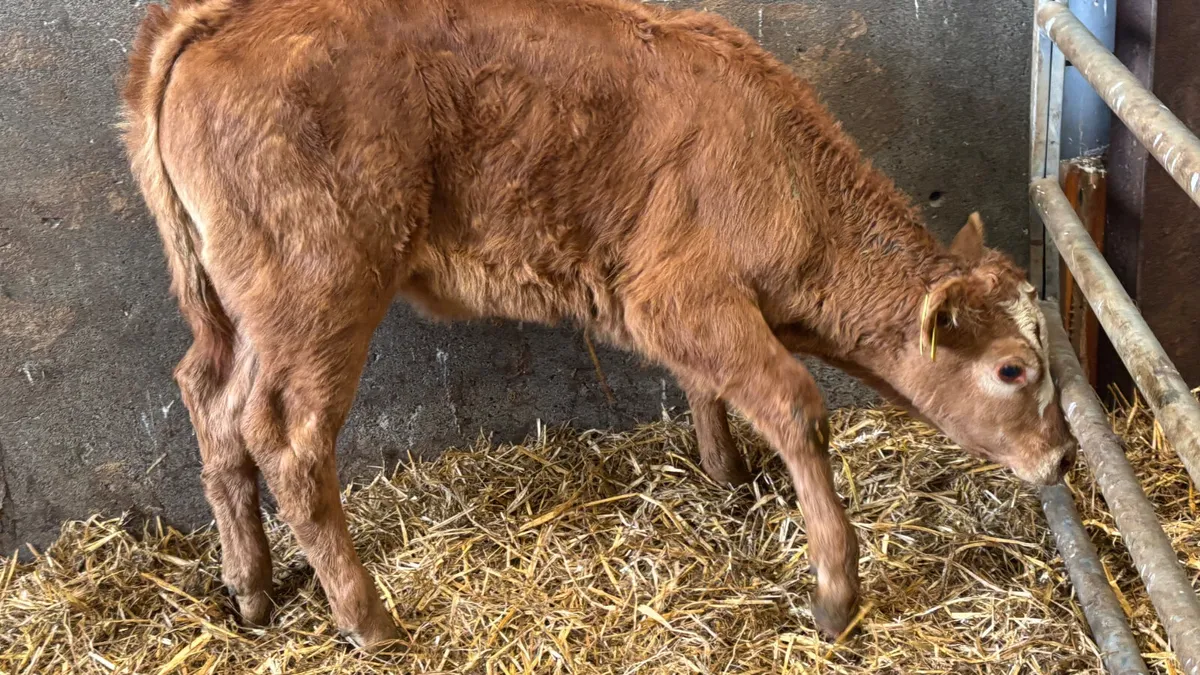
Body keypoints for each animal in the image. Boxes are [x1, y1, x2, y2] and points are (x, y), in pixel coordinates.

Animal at [122, 0, 1077, 648]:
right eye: (1013, 370)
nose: (1065, 456)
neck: (782, 167)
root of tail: (215, 21)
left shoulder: (679, 312)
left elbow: (707, 387)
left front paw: (728, 475)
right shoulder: (682, 295)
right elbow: (797, 406)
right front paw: (836, 592)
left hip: (241, 312)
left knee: (211, 405)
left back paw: (250, 588)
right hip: (320, 292)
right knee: (289, 441)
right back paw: (371, 619)